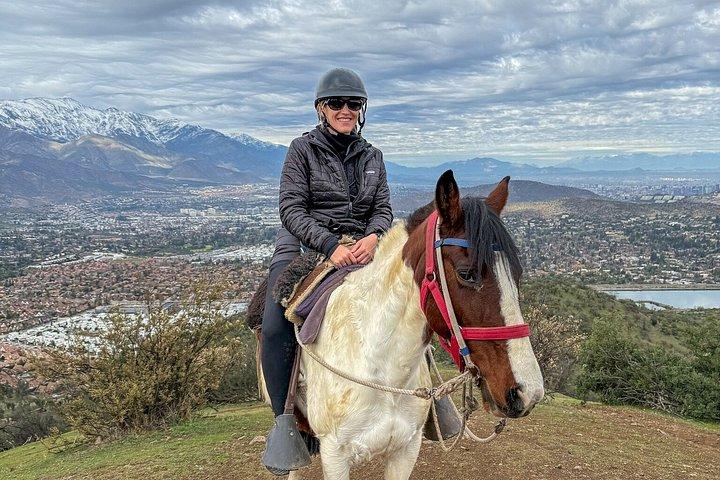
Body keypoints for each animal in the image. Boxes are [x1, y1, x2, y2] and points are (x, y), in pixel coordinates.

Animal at [263, 170, 544, 479]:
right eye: (467, 274)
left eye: (517, 273)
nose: (527, 393)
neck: (382, 371)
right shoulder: (334, 456)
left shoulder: (406, 449)